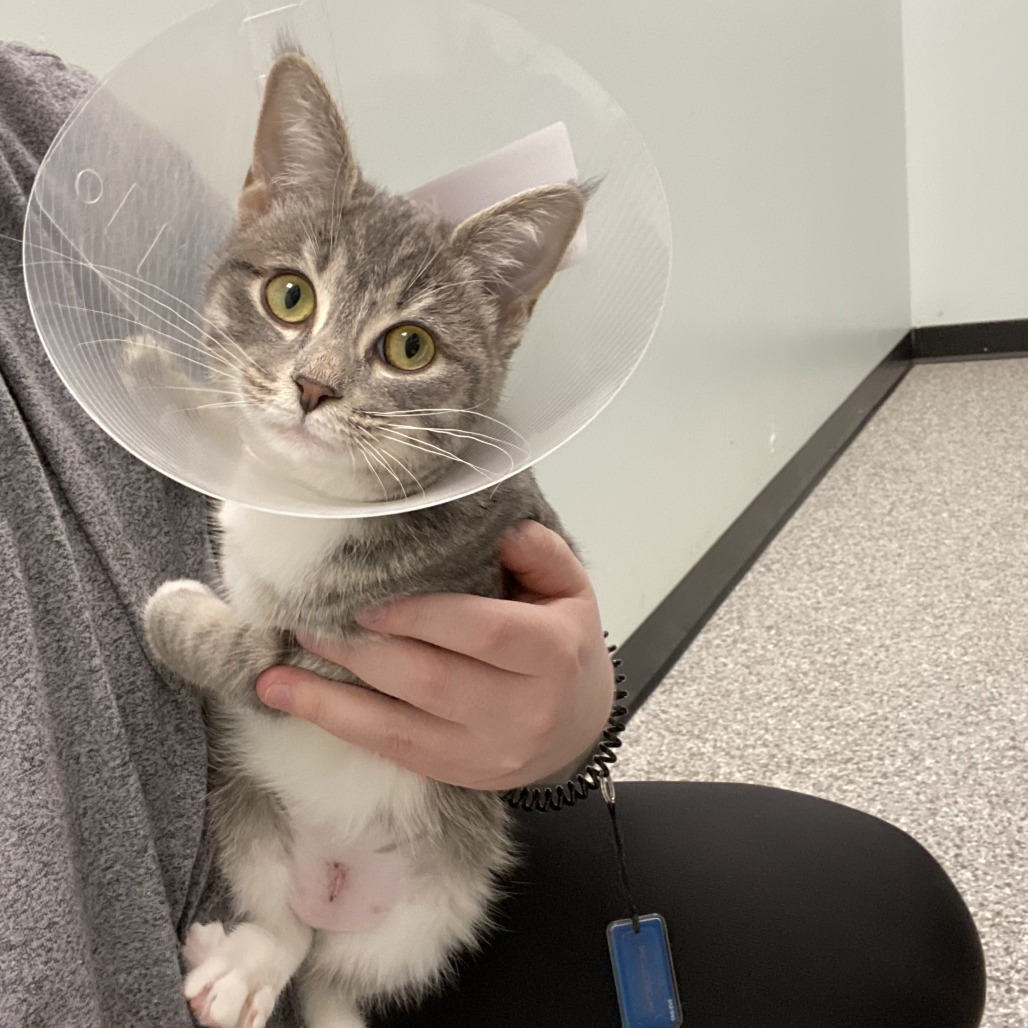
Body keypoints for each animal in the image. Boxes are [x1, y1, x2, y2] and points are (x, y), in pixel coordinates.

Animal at [143, 52, 592, 1023]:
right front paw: (153, 372)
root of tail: (334, 892)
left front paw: (176, 613)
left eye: (410, 347)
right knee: (289, 932)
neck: (312, 504)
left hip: (444, 900)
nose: (312, 387)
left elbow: (253, 651)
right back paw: (248, 964)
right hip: (248, 818)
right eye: (290, 296)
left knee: (329, 962)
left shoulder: (371, 637)